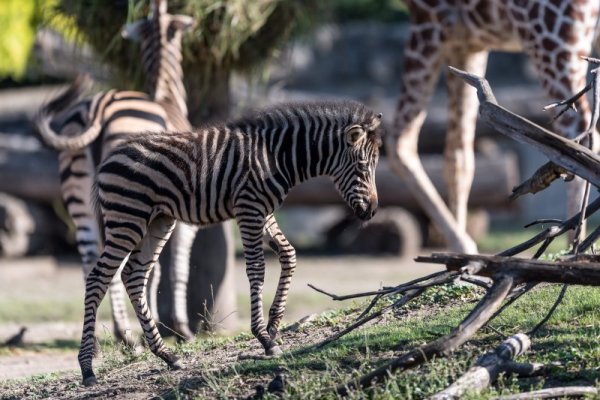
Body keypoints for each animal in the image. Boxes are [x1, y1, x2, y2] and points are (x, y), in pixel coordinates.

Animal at [35, 0, 197, 344]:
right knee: (113, 263)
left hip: (82, 197)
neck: (166, 96)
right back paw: (126, 335)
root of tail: (101, 105)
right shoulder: (182, 213)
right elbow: (172, 267)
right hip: (126, 200)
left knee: (91, 262)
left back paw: (108, 340)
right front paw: (178, 327)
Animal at [78, 99, 384, 384]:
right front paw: (264, 338)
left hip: (158, 220)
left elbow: (289, 254)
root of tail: (109, 158)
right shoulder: (249, 208)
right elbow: (257, 269)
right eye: (362, 167)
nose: (371, 212)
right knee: (98, 278)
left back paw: (167, 355)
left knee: (133, 275)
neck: (276, 157)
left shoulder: (264, 211)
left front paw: (274, 325)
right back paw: (87, 368)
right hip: (127, 219)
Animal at [386, 0, 600, 252]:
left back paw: (571, 247)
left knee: (578, 134)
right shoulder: (467, 43)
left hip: (552, 34)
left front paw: (463, 247)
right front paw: (460, 252)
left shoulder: (429, 20)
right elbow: (458, 158)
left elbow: (400, 142)